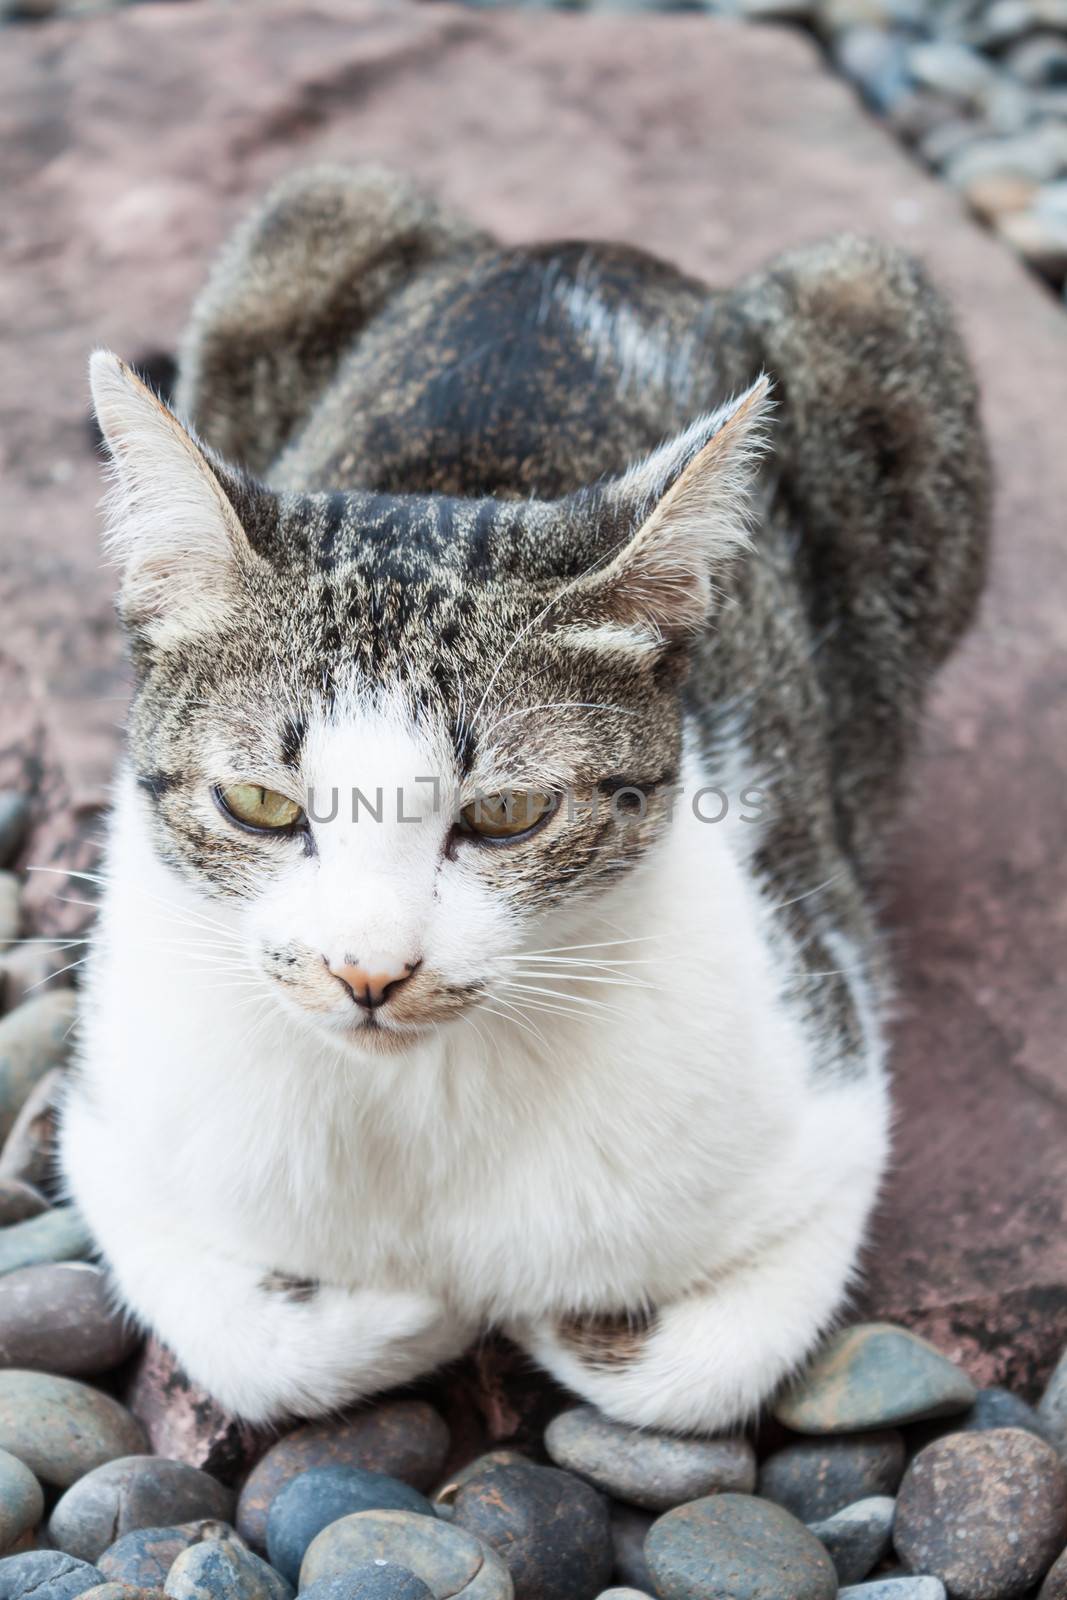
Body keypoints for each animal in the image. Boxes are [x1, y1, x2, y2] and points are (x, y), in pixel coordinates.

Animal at [60, 168, 991, 1433]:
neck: (417, 1103)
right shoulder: (113, 1125)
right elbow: (250, 1340)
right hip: (319, 206)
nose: (368, 973)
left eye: (504, 815)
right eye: (260, 802)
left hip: (869, 299)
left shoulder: (826, 1068)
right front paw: (416, 1309)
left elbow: (689, 1369)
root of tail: (582, 249)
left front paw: (540, 1317)